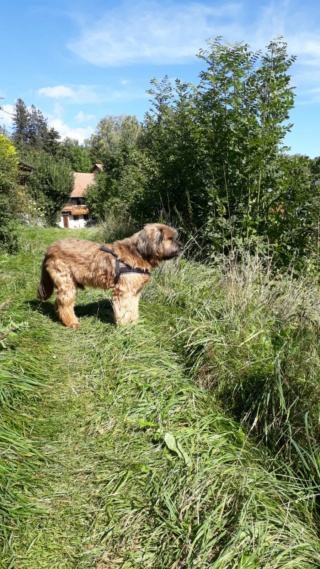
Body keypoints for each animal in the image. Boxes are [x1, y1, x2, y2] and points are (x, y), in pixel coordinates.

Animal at [37, 223, 182, 328]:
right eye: (170, 238)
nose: (182, 247)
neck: (138, 253)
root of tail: (49, 249)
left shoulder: (135, 292)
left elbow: (133, 308)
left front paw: (134, 323)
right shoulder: (123, 291)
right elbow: (124, 309)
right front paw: (125, 326)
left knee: (58, 302)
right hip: (66, 282)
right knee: (64, 304)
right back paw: (72, 322)